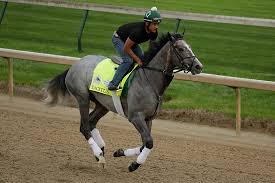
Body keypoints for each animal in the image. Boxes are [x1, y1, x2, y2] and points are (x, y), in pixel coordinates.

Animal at [44, 32, 203, 172]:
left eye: (190, 46)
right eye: (181, 48)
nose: (198, 66)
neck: (150, 80)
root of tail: (75, 65)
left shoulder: (148, 118)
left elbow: (145, 143)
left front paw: (119, 152)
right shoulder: (136, 116)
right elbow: (149, 142)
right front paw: (134, 165)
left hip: (103, 104)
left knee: (91, 122)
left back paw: (101, 149)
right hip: (82, 98)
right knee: (84, 127)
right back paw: (99, 156)